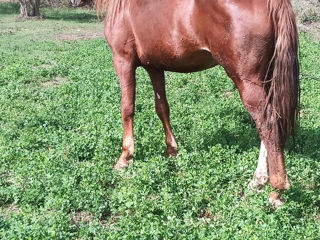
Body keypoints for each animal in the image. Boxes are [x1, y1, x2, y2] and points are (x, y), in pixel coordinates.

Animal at [95, 0, 300, 206]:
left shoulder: (123, 60)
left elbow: (127, 107)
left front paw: (125, 157)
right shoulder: (154, 67)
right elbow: (162, 108)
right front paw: (171, 150)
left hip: (247, 81)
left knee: (268, 124)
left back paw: (277, 189)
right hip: (267, 79)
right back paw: (258, 180)